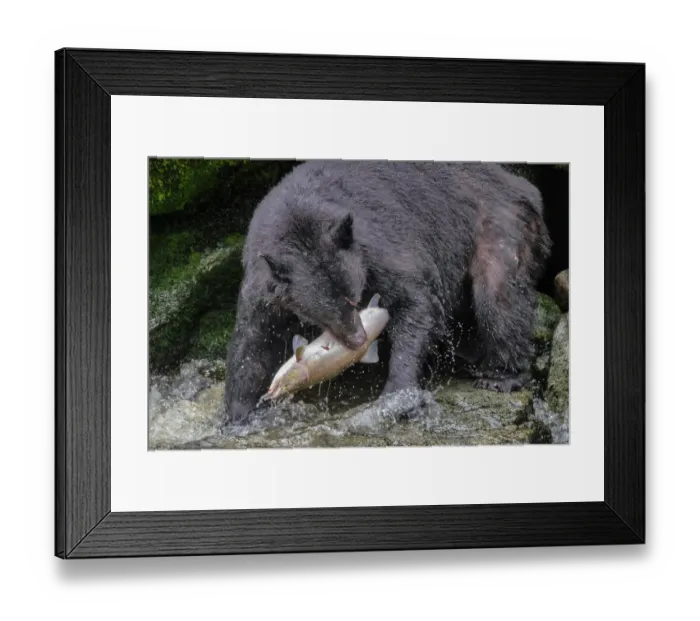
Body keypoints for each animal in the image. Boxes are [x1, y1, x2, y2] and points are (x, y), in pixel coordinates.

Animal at [223, 160, 552, 426]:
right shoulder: (263, 286)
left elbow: (416, 301)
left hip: (499, 226)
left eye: (354, 298)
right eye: (324, 314)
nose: (358, 339)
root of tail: (520, 184)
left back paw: (502, 376)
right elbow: (252, 342)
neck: (298, 219)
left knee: (499, 299)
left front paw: (397, 392)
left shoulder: (375, 246)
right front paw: (239, 415)